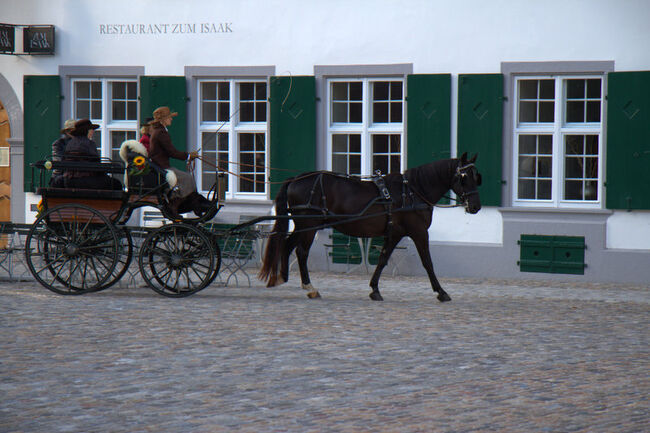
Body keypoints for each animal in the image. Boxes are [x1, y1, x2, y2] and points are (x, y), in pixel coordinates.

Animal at [260, 154, 480, 302]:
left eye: (476, 176)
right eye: (464, 177)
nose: (476, 206)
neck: (412, 192)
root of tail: (296, 179)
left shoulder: (395, 234)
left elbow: (382, 259)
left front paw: (374, 289)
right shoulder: (418, 232)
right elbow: (428, 262)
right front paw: (441, 292)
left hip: (302, 225)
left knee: (287, 245)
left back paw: (282, 277)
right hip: (309, 226)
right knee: (301, 252)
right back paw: (309, 287)